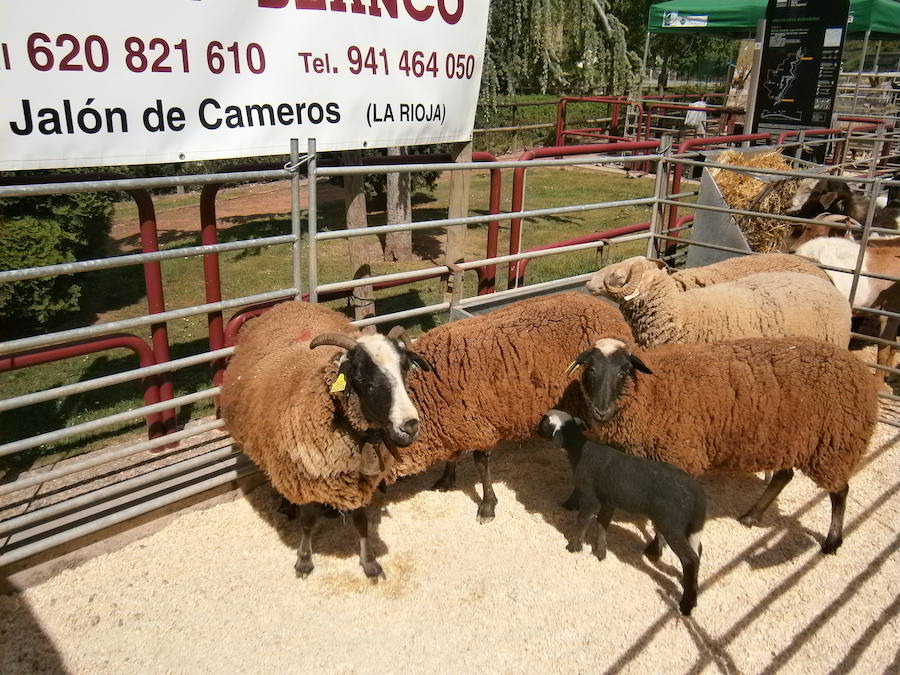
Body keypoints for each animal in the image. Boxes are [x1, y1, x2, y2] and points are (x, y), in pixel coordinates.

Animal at [536, 410, 708, 616]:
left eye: (544, 424)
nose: (535, 429)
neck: (579, 449)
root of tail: (698, 495)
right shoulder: (608, 502)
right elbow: (602, 525)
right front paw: (600, 552)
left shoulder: (590, 497)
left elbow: (583, 520)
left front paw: (574, 546)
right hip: (689, 526)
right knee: (698, 550)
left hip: (671, 523)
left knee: (690, 559)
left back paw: (687, 603)